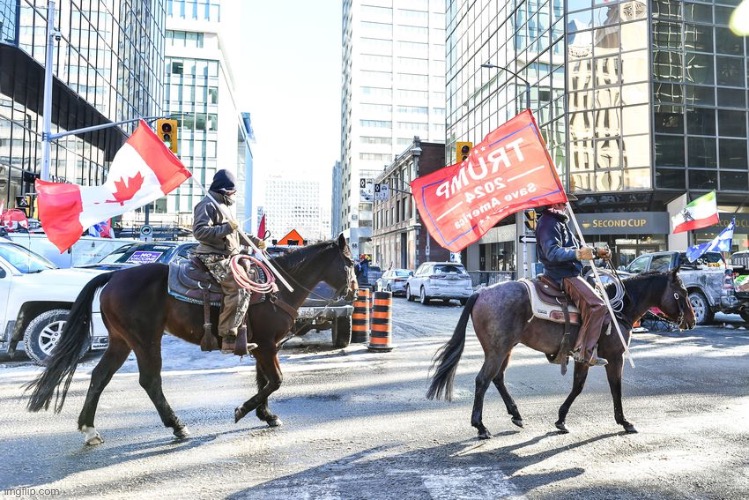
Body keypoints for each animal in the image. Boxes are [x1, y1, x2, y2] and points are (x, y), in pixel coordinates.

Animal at [24, 234, 358, 446]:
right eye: (351, 263)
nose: (354, 291)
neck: (278, 288)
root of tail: (114, 276)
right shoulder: (266, 346)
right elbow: (275, 380)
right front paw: (242, 411)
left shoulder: (264, 346)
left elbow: (264, 381)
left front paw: (266, 415)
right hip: (145, 340)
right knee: (150, 380)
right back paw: (177, 426)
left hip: (121, 341)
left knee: (99, 377)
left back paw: (89, 429)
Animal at [426, 270, 696, 438]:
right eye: (682, 293)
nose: (692, 321)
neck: (617, 310)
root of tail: (480, 292)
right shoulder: (615, 357)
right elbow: (616, 388)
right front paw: (624, 421)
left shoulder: (584, 356)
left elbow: (577, 387)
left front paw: (561, 420)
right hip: (497, 349)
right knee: (483, 380)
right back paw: (481, 427)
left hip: (506, 348)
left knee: (497, 378)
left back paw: (516, 415)